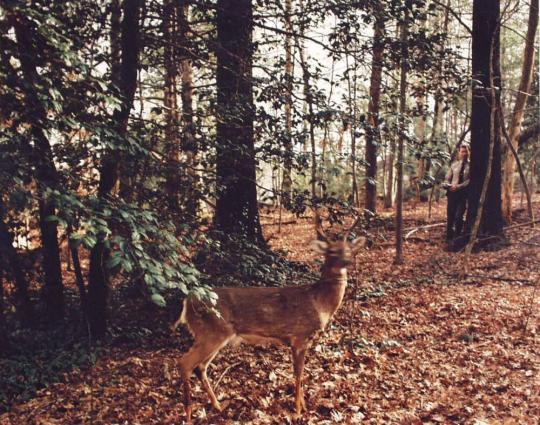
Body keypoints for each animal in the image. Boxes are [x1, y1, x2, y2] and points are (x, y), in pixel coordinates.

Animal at [172, 220, 368, 422]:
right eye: (332, 251)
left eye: (349, 249)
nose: (348, 262)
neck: (320, 303)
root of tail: (187, 301)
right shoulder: (299, 337)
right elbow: (298, 374)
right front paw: (298, 411)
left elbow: (301, 373)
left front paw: (304, 407)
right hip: (211, 332)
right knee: (184, 364)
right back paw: (189, 415)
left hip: (215, 335)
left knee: (200, 367)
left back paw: (217, 405)